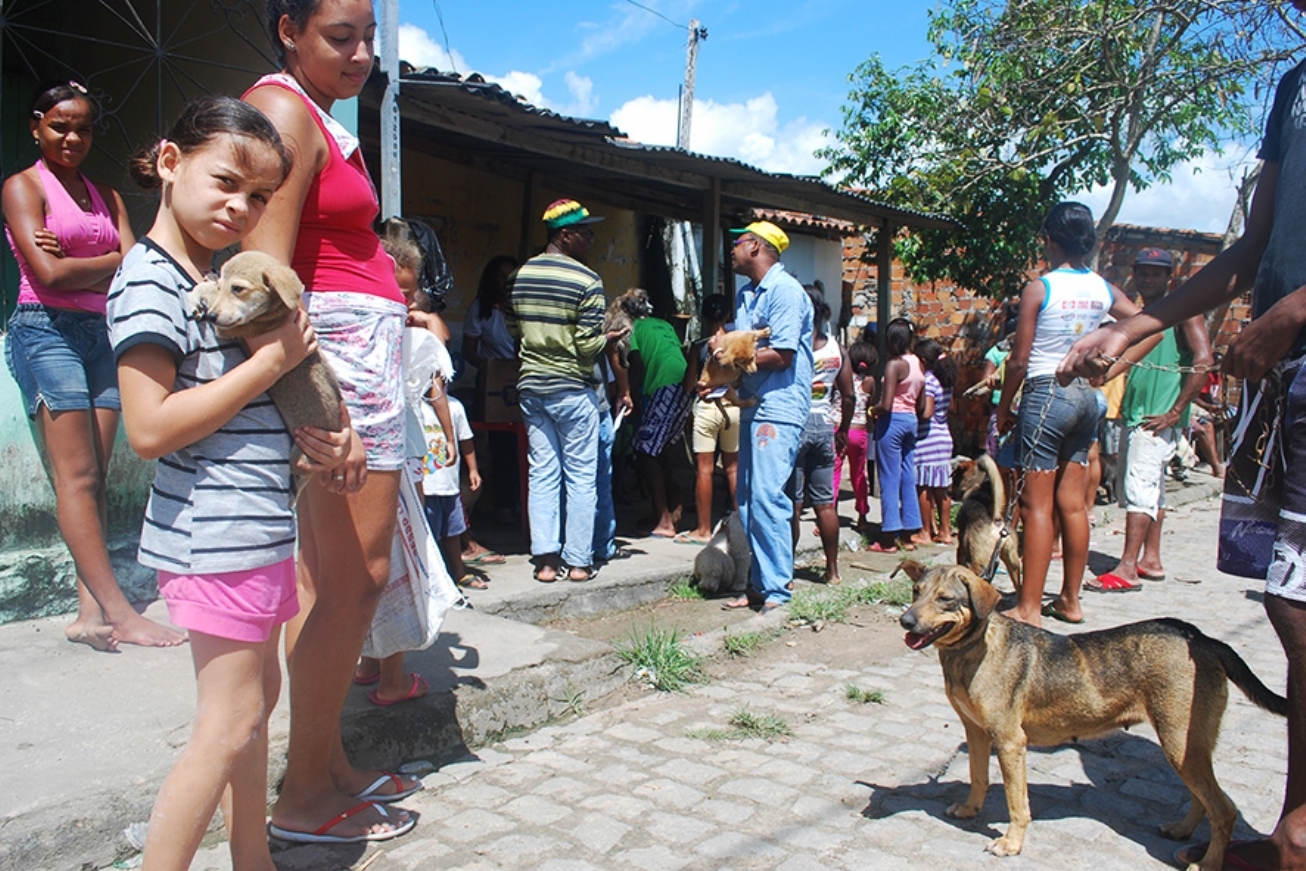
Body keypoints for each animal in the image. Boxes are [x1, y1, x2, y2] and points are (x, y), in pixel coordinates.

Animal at [189, 252, 344, 488]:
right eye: (226, 285)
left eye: (238, 288)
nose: (212, 316)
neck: (277, 312)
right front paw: (210, 282)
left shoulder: (231, 327)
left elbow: (211, 295)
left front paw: (200, 292)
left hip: (300, 458)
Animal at [898, 561, 1285, 867]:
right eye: (916, 591)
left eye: (945, 599)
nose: (905, 620)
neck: (973, 649)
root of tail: (1202, 638)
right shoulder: (976, 732)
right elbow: (978, 777)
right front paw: (969, 811)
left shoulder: (1010, 742)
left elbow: (1016, 802)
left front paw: (1012, 844)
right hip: (1187, 747)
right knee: (1203, 798)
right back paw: (1181, 830)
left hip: (1178, 742)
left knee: (1224, 810)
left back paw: (1207, 863)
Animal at [950, 457, 1018, 592]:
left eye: (954, 479)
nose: (947, 489)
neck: (977, 486)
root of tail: (995, 519)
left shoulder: (961, 547)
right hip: (1013, 564)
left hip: (976, 563)